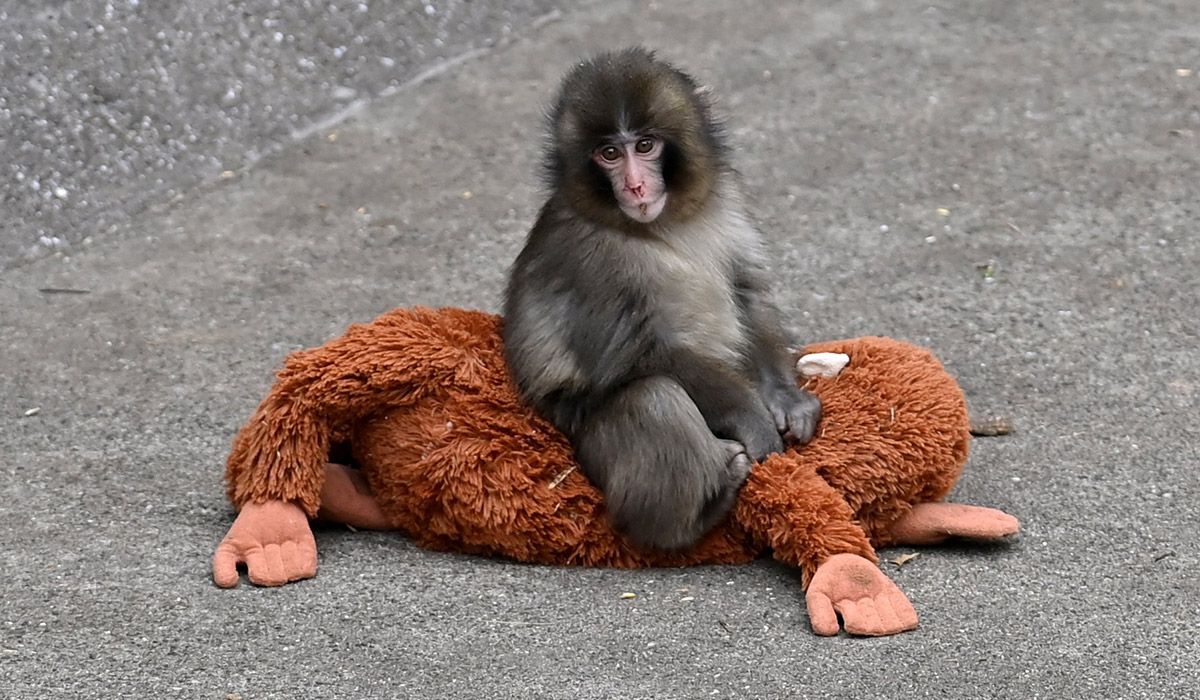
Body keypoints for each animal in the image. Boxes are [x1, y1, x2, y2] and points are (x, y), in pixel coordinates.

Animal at [502, 48, 821, 551]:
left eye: (646, 146)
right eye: (610, 153)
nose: (634, 186)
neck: (659, 223)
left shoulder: (726, 198)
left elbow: (746, 290)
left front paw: (785, 399)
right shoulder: (589, 258)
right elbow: (641, 355)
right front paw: (754, 419)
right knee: (653, 397)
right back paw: (694, 516)